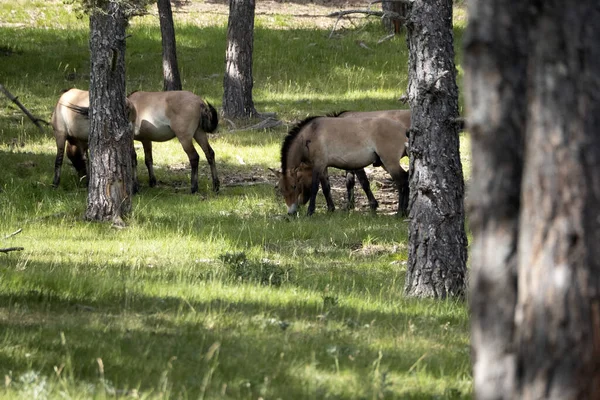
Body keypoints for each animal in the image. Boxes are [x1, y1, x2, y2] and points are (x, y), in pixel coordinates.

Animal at [276, 114, 408, 217]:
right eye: (281, 189)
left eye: (294, 186)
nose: (291, 212)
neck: (311, 134)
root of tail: (404, 129)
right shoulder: (323, 167)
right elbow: (326, 188)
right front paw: (330, 209)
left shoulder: (318, 165)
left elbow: (315, 188)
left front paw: (310, 212)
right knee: (405, 179)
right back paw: (404, 212)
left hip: (390, 162)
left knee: (401, 181)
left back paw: (400, 213)